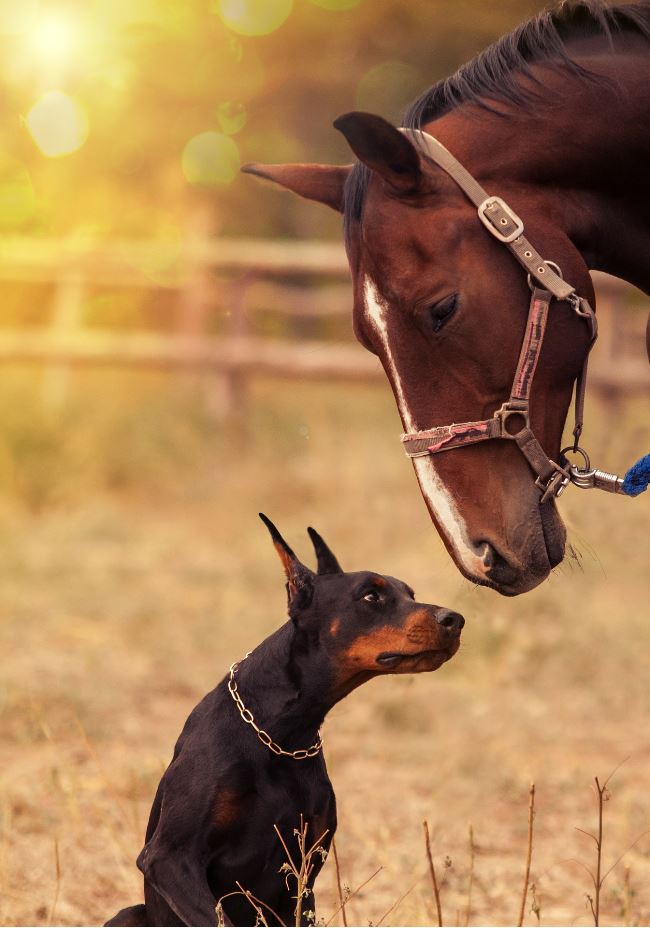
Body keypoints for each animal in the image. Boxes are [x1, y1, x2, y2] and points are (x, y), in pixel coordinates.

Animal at [105, 520, 460, 924]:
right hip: (131, 913)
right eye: (371, 596)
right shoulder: (170, 858)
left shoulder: (304, 872)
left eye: (410, 594)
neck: (282, 731)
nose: (455, 620)